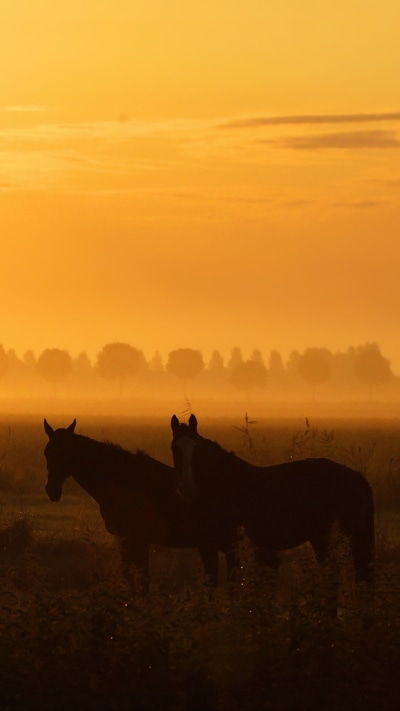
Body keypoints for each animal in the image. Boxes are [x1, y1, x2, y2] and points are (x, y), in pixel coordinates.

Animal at [43, 418, 204, 589]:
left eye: (66, 452)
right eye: (46, 452)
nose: (52, 490)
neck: (125, 480)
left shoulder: (138, 539)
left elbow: (141, 579)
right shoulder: (124, 538)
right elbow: (129, 576)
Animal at [171, 414, 375, 583]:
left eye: (197, 450)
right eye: (174, 449)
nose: (187, 488)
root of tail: (354, 475)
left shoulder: (231, 550)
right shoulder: (208, 550)